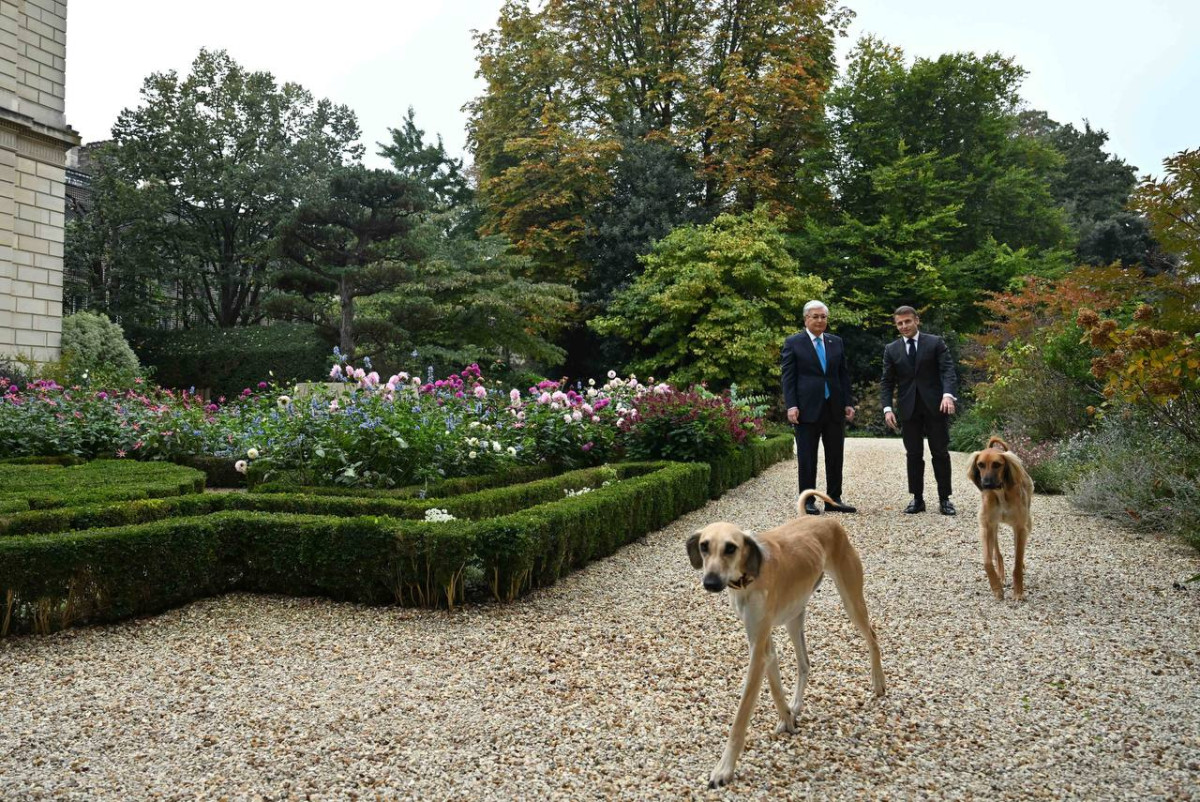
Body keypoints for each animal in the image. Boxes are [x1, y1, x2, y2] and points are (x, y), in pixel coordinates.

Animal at [686, 489, 883, 787]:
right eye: (704, 546)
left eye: (730, 547)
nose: (710, 583)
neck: (748, 576)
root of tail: (822, 520)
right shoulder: (762, 642)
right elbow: (776, 686)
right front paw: (787, 718)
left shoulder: (758, 649)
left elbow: (742, 714)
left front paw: (724, 768)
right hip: (794, 617)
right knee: (805, 664)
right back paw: (797, 705)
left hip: (851, 599)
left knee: (872, 637)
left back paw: (878, 683)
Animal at [964, 439, 1032, 600]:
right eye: (980, 464)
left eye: (997, 464)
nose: (986, 485)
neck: (1000, 492)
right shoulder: (986, 527)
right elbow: (987, 562)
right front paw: (997, 588)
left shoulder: (1020, 527)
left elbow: (1017, 562)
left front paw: (1018, 591)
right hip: (994, 528)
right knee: (997, 552)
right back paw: (1000, 574)